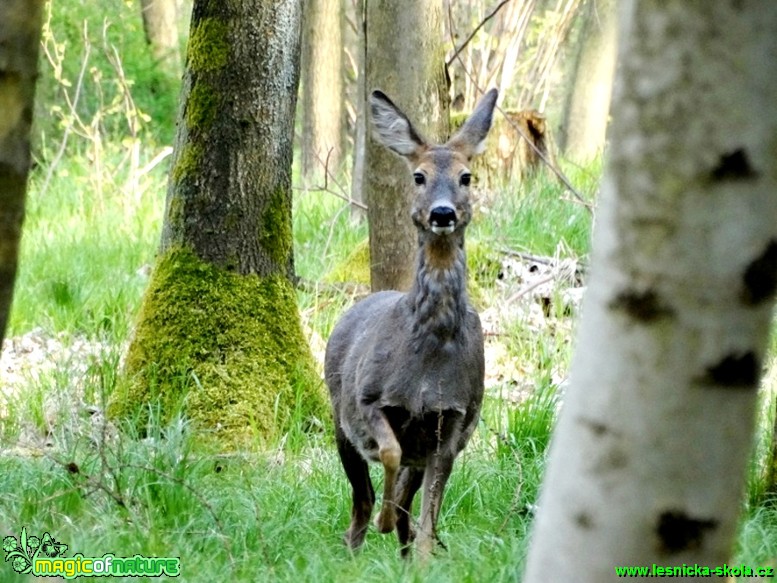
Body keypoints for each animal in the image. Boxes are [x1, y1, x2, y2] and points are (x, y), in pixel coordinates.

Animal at [322, 86, 498, 556]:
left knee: (406, 501)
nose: (442, 213)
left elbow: (429, 513)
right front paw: (386, 520)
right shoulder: (368, 399)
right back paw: (358, 544)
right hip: (338, 416)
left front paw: (420, 557)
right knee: (360, 501)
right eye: (418, 176)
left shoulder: (454, 419)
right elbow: (389, 453)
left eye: (466, 176)